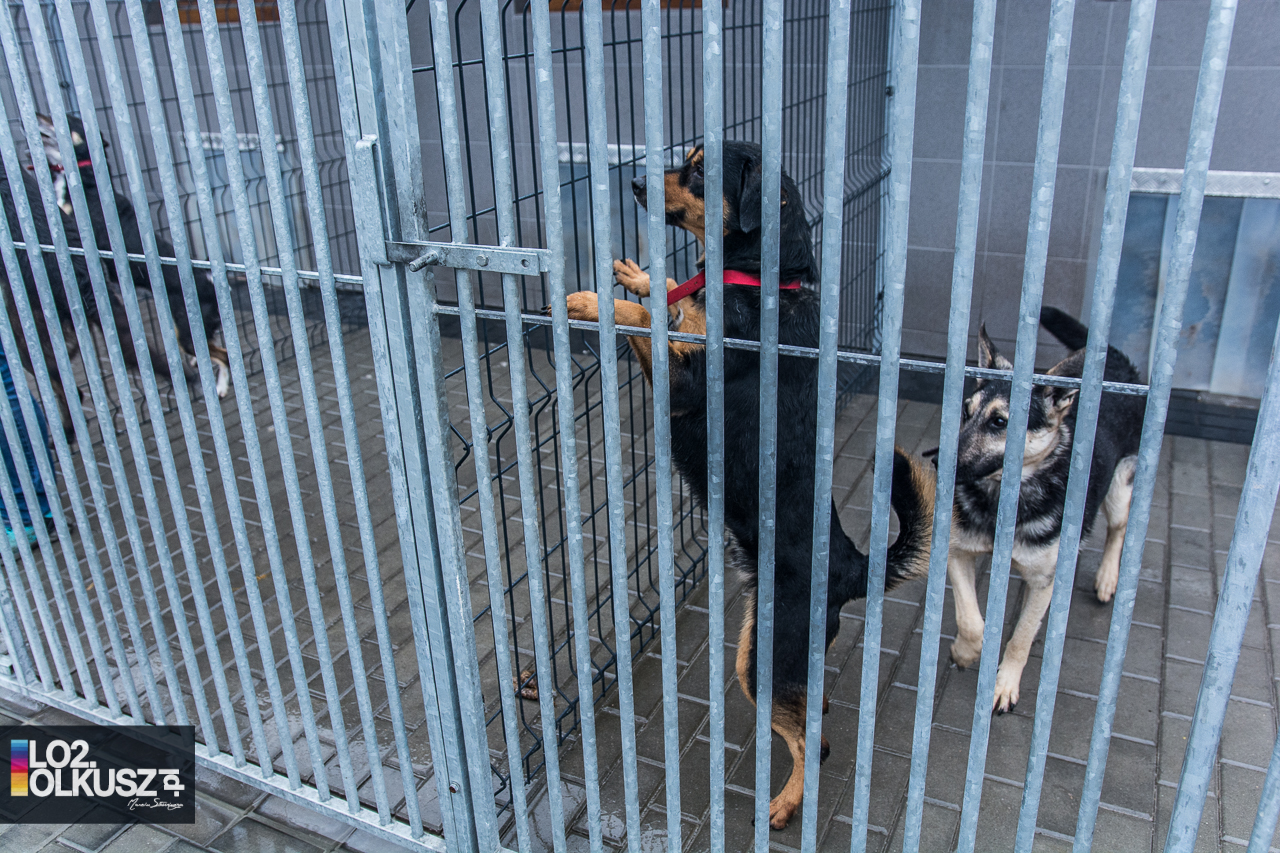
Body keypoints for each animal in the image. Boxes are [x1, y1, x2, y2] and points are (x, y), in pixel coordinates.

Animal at [37, 114, 231, 399]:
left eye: (65, 119)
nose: (35, 118)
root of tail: (209, 280)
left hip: (187, 331)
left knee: (224, 356)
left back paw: (220, 386)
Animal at [562, 141, 936, 829]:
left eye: (701, 169)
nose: (633, 182)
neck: (764, 279)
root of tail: (851, 566)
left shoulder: (686, 388)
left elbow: (649, 318)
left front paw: (594, 300)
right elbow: (669, 298)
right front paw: (640, 275)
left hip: (761, 659)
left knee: (810, 744)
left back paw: (785, 803)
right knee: (808, 708)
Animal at [946, 307, 1143, 713]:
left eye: (1000, 422)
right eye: (966, 412)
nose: (940, 461)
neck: (1003, 499)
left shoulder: (1044, 582)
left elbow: (1020, 638)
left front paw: (1004, 683)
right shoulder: (958, 552)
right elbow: (972, 620)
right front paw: (966, 651)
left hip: (1119, 489)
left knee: (1117, 528)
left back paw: (1107, 578)